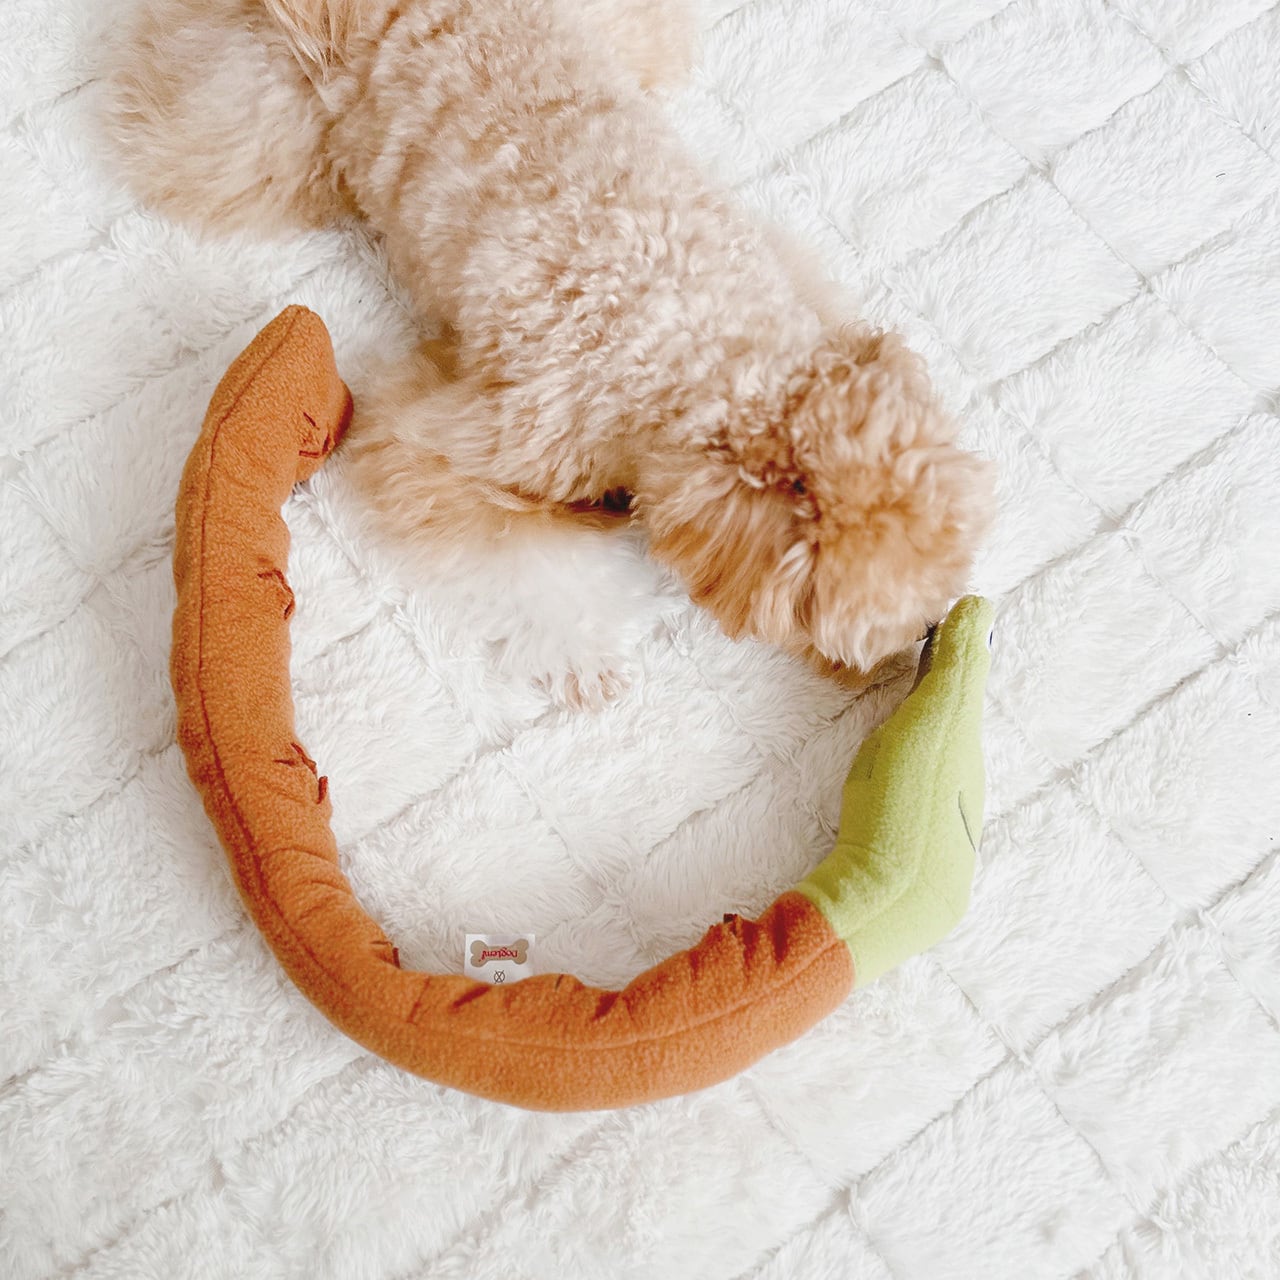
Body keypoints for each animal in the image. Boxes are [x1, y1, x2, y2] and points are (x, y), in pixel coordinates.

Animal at [105, 0, 993, 703]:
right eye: (835, 625)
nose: (924, 641)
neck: (699, 347)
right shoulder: (446, 438)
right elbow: (530, 569)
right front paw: (588, 659)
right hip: (260, 125)